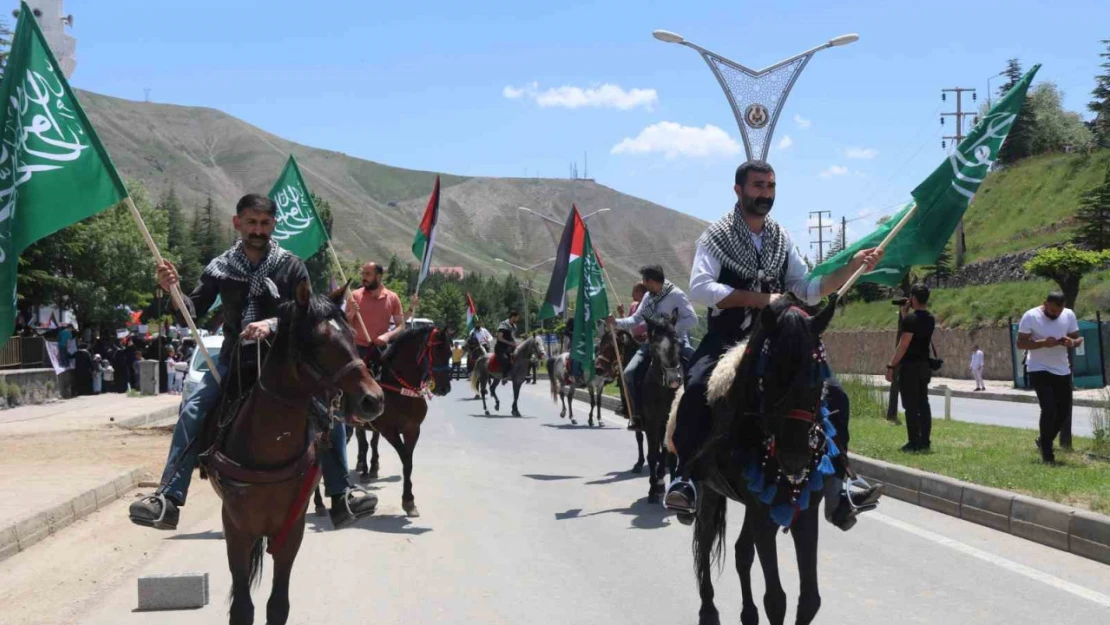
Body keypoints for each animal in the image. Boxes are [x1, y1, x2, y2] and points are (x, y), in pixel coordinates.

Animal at [203, 286, 381, 625]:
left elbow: (278, 606)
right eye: (319, 341)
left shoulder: (292, 530)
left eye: (352, 334)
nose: (373, 399)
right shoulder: (236, 528)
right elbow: (242, 608)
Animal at [688, 297, 834, 625]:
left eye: (818, 378)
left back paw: (748, 613)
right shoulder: (761, 514)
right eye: (768, 377)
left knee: (742, 552)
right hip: (709, 490)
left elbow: (810, 599)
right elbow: (776, 599)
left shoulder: (804, 511)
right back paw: (708, 608)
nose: (795, 458)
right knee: (705, 541)